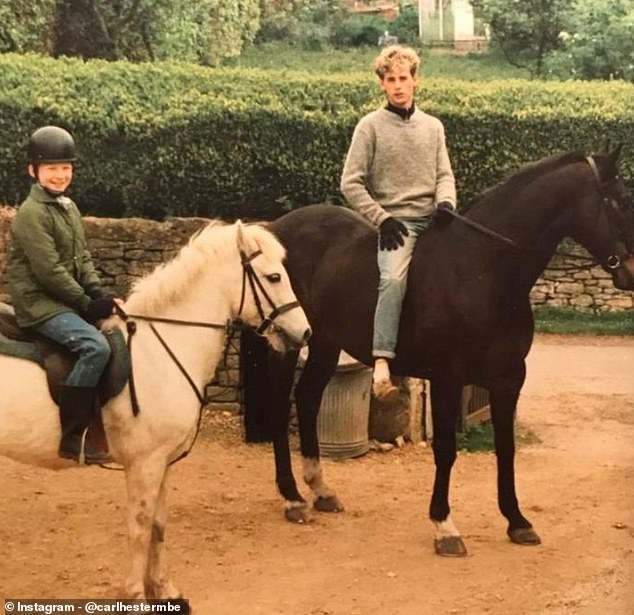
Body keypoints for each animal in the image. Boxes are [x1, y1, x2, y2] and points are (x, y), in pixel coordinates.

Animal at [0, 221, 308, 608]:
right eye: (273, 276)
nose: (305, 333)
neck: (165, 348)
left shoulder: (164, 461)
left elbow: (159, 525)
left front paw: (164, 589)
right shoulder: (145, 463)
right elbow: (140, 525)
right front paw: (134, 596)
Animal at [253, 146, 632, 560]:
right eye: (618, 199)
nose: (631, 272)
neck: (482, 268)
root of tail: (276, 229)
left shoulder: (508, 379)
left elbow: (506, 448)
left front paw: (517, 521)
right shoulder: (449, 378)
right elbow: (447, 449)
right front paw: (444, 526)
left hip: (325, 343)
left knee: (307, 400)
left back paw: (321, 490)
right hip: (289, 341)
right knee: (280, 408)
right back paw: (292, 498)